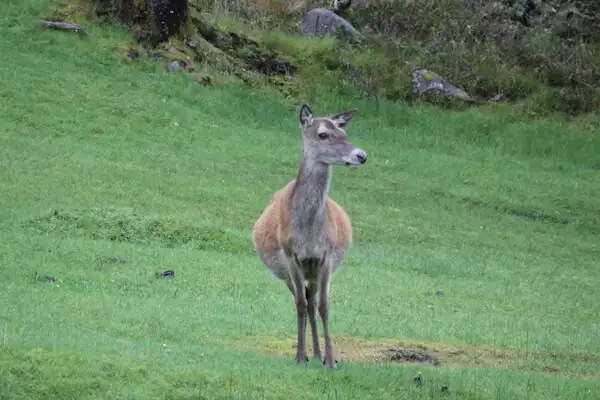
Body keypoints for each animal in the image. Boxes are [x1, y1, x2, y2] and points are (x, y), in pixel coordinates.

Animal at [252, 103, 366, 368]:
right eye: (323, 134)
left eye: (344, 133)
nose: (361, 155)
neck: (309, 234)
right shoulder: (291, 255)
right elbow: (300, 305)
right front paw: (300, 357)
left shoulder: (326, 255)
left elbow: (324, 306)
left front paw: (331, 361)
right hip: (286, 272)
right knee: (302, 300)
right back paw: (308, 353)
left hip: (315, 271)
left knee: (313, 302)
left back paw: (317, 354)